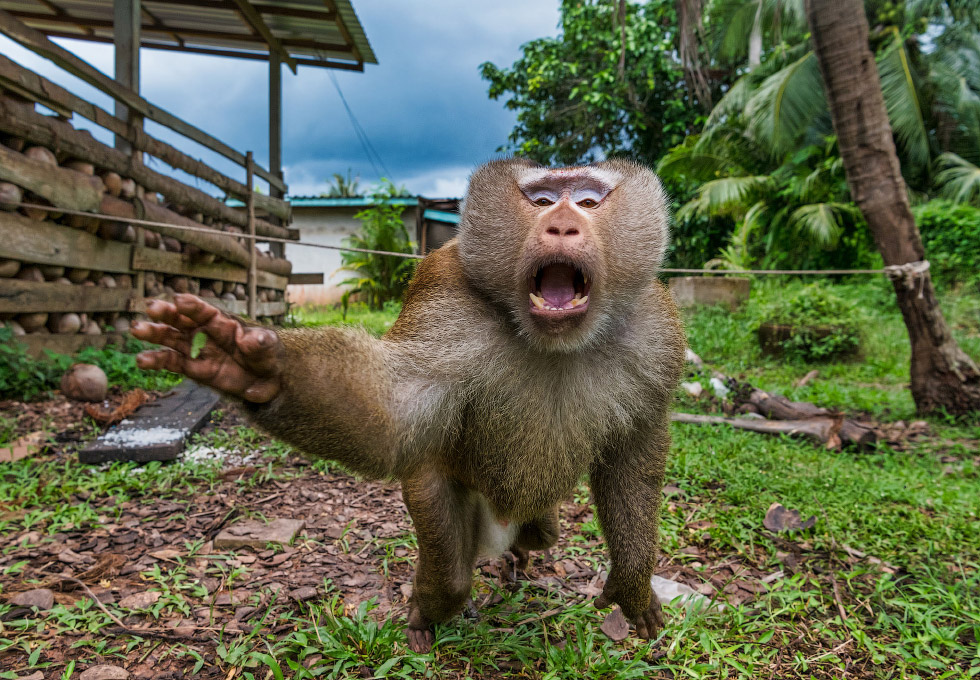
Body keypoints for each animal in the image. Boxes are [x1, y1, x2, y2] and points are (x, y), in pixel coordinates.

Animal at [130, 158, 684, 652]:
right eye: (542, 201)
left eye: (589, 202)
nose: (563, 224)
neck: (555, 342)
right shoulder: (449, 303)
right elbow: (396, 410)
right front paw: (256, 370)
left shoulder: (655, 330)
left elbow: (634, 457)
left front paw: (633, 585)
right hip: (429, 485)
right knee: (453, 574)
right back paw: (426, 612)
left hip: (529, 512)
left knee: (543, 530)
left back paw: (521, 553)